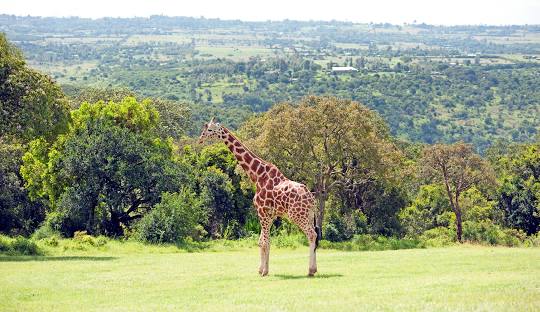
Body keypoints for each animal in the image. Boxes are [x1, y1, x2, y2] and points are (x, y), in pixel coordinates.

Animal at [199, 117, 320, 276]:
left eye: (210, 129)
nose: (200, 139)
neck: (257, 175)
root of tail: (312, 200)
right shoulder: (268, 214)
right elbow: (261, 241)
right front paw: (262, 269)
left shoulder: (262, 211)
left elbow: (265, 242)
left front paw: (264, 271)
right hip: (309, 215)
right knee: (315, 235)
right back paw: (315, 269)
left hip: (297, 215)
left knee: (311, 235)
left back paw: (310, 270)